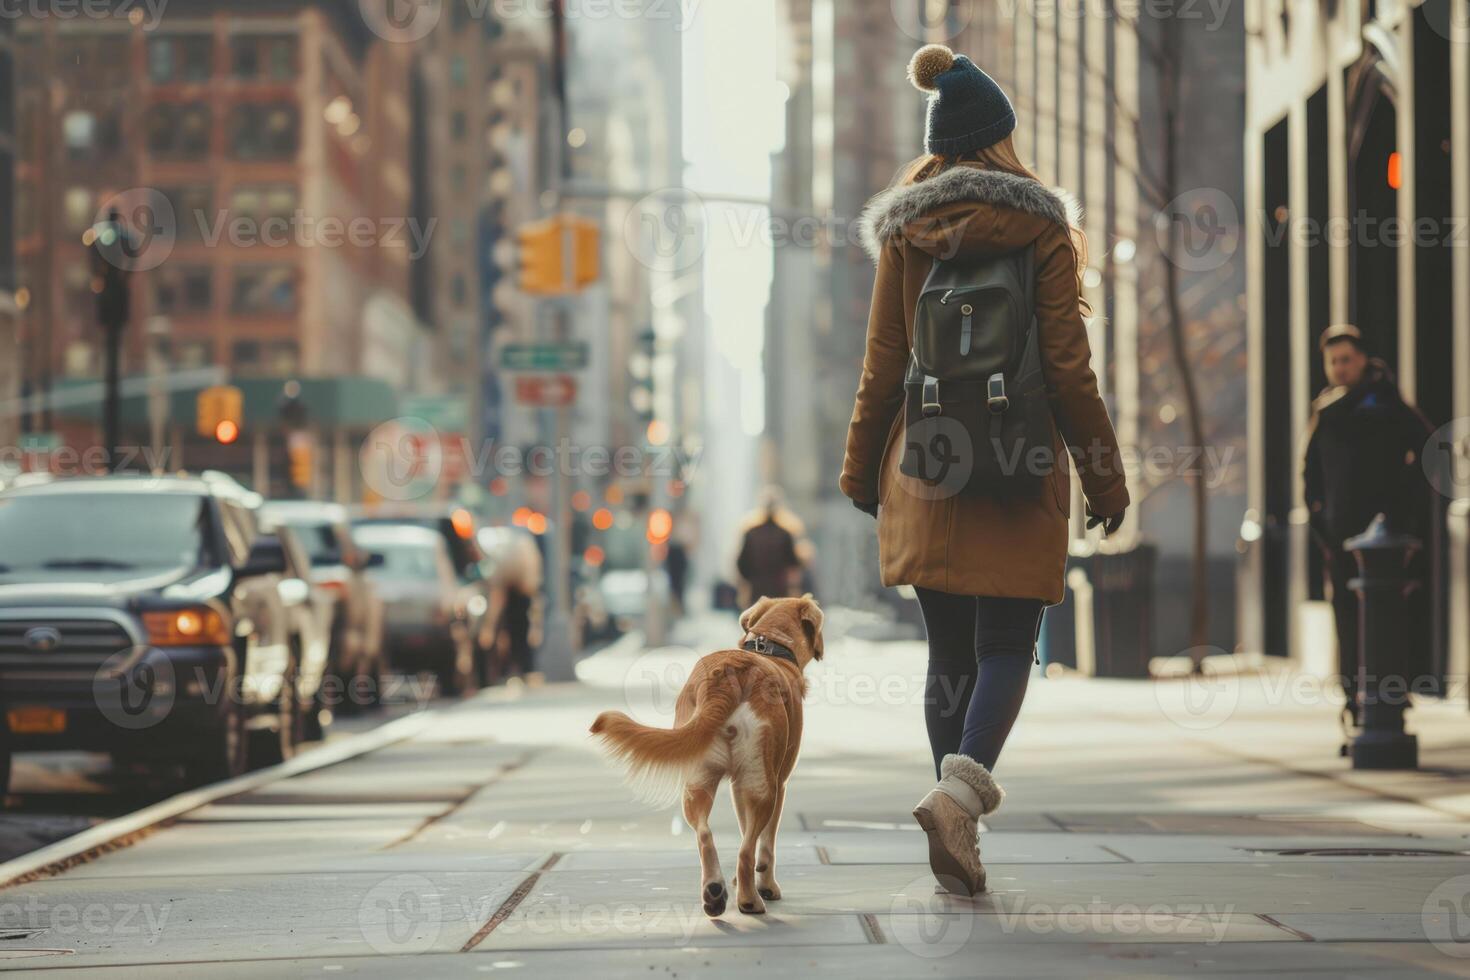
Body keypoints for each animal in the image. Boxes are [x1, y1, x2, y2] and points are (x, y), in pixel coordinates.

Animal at [588, 590, 823, 922]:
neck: (771, 648)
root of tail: (727, 675)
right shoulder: (780, 782)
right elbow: (765, 844)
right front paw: (767, 885)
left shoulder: (738, 787)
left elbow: (743, 828)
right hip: (762, 785)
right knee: (746, 850)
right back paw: (750, 900)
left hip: (698, 780)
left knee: (705, 835)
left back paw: (715, 892)